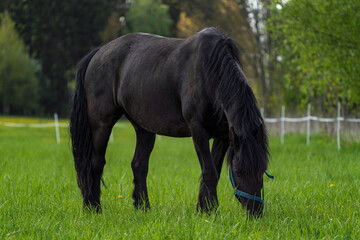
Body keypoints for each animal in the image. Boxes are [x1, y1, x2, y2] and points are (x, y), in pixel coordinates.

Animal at [70, 27, 268, 217]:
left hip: (144, 128)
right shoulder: (198, 131)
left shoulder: (223, 136)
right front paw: (211, 212)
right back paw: (93, 208)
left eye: (263, 169)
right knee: (95, 164)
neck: (209, 72)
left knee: (139, 165)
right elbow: (209, 171)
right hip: (101, 123)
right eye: (239, 171)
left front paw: (204, 208)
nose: (255, 212)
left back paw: (143, 208)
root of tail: (98, 52)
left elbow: (215, 171)